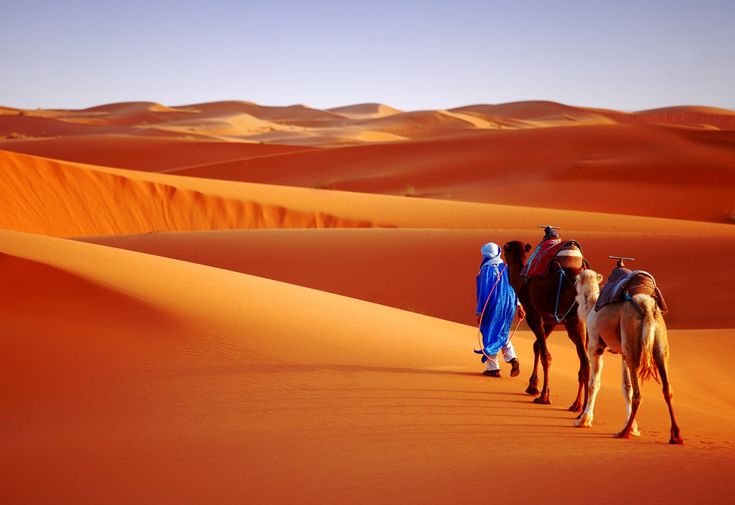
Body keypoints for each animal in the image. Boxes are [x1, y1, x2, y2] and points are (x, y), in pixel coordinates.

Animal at [504, 239, 588, 410]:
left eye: (506, 249)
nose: (501, 253)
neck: (521, 282)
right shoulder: (551, 320)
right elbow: (537, 345)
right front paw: (533, 386)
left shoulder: (533, 314)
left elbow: (545, 355)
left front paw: (543, 395)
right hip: (579, 322)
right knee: (586, 361)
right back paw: (578, 406)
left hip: (573, 321)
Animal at [576, 270, 684, 442]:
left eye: (575, 282)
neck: (591, 306)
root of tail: (647, 307)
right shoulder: (622, 353)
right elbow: (626, 387)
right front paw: (633, 427)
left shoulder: (595, 345)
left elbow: (594, 383)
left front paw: (584, 420)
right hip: (658, 345)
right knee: (667, 389)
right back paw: (676, 436)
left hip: (630, 342)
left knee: (639, 394)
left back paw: (623, 433)